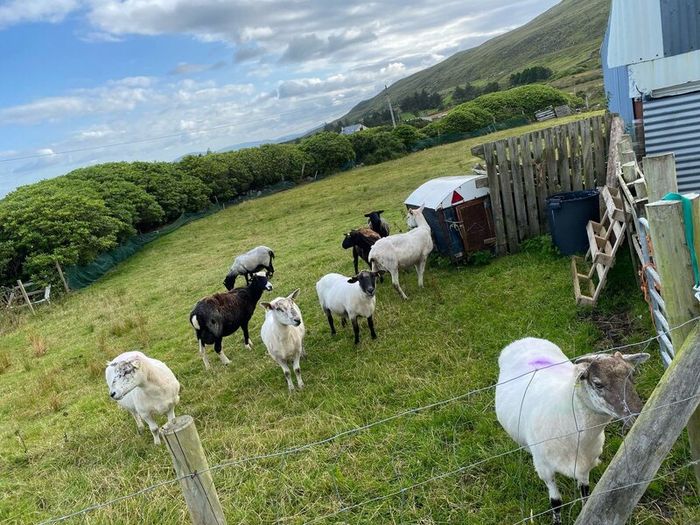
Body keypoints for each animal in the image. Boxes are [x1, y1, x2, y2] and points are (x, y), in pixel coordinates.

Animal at [494, 338, 649, 525]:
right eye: (598, 383)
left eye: (632, 376)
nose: (639, 413)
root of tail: (525, 339)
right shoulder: (545, 469)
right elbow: (556, 502)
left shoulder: (586, 463)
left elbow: (585, 494)